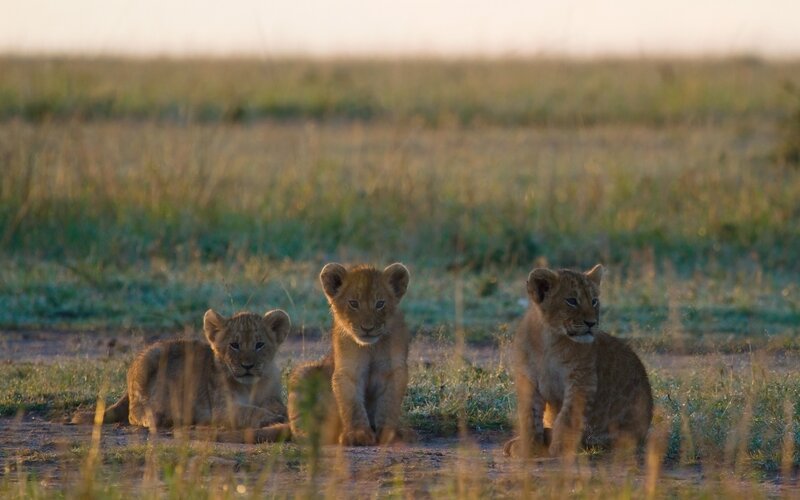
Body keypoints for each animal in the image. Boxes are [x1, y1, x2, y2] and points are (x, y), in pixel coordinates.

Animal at [71, 309, 291, 442]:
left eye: (259, 344)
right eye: (234, 345)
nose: (247, 366)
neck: (250, 385)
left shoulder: (271, 396)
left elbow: (274, 405)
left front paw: (282, 413)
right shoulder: (221, 408)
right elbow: (250, 411)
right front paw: (271, 418)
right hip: (151, 357)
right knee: (134, 412)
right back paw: (158, 417)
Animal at [286, 262, 413, 446]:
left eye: (380, 304)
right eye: (353, 303)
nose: (367, 328)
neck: (371, 347)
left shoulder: (393, 371)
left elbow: (388, 405)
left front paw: (389, 434)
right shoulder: (348, 370)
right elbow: (352, 406)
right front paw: (358, 435)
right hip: (303, 372)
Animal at [503, 264, 653, 457]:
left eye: (594, 301)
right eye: (572, 301)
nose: (591, 323)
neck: (549, 340)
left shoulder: (582, 381)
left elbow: (567, 417)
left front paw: (561, 447)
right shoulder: (529, 379)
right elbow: (529, 415)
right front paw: (528, 447)